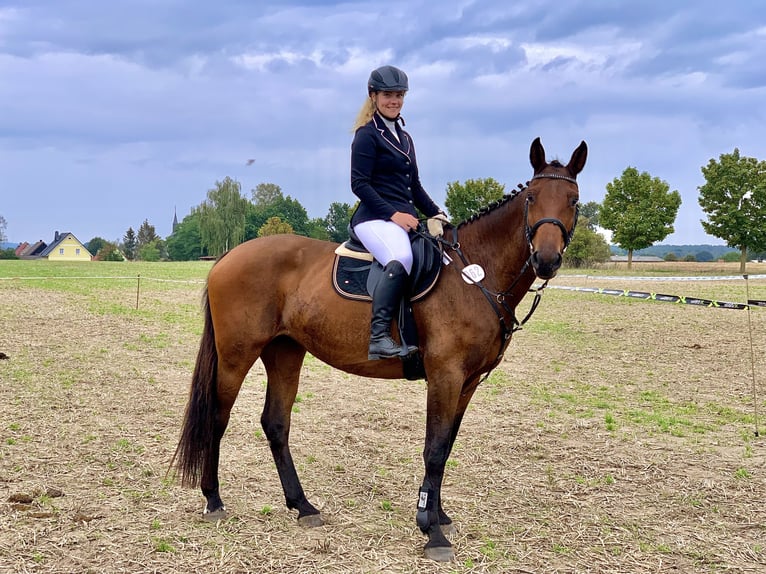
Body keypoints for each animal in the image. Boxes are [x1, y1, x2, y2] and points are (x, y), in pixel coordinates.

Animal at [172, 137, 587, 562]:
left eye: (573, 200)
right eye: (532, 196)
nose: (546, 259)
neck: (474, 276)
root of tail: (229, 255)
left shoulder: (467, 382)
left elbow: (445, 448)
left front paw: (439, 516)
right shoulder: (445, 375)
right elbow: (434, 449)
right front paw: (432, 532)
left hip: (285, 352)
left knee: (275, 423)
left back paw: (303, 506)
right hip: (236, 356)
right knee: (217, 418)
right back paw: (214, 500)